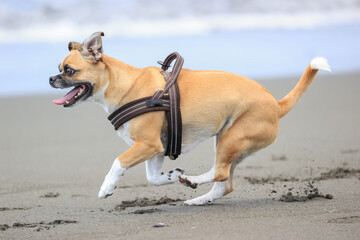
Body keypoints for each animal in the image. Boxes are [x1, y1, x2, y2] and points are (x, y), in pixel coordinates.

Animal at [49, 31, 330, 205]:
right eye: (59, 68)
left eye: (69, 70)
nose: (51, 78)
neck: (125, 85)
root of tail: (276, 103)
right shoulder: (156, 150)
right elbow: (153, 178)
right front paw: (173, 176)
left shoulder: (148, 145)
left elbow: (118, 162)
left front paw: (107, 187)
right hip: (232, 144)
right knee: (224, 183)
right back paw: (198, 197)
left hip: (230, 140)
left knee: (219, 173)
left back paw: (194, 180)